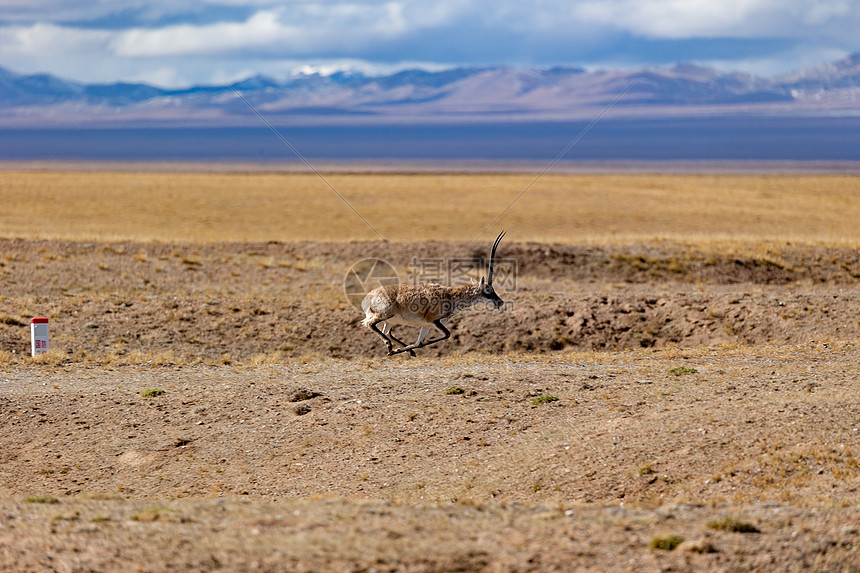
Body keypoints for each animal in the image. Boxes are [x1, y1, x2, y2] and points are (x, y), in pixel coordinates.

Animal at [362, 230, 508, 356]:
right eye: (488, 290)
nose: (500, 302)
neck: (451, 296)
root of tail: (368, 297)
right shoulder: (434, 321)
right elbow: (447, 334)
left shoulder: (426, 326)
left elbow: (418, 342)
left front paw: (401, 350)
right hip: (385, 314)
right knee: (370, 324)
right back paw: (389, 346)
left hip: (390, 321)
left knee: (387, 332)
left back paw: (399, 351)